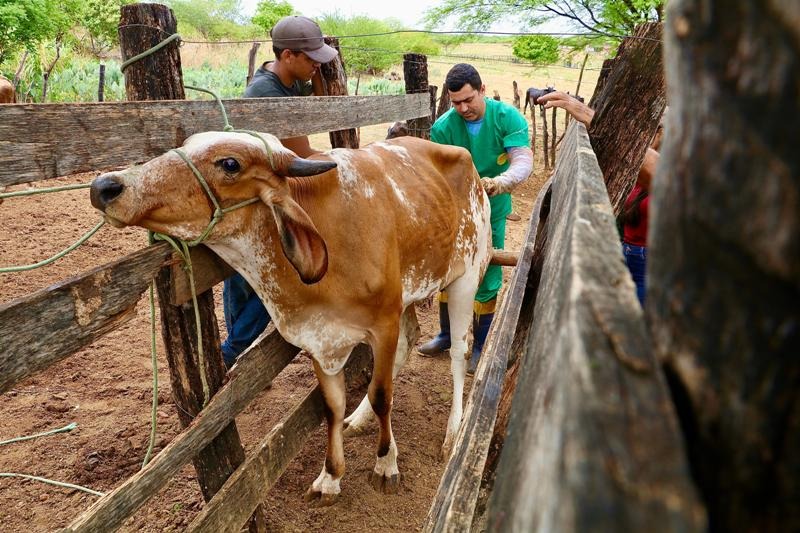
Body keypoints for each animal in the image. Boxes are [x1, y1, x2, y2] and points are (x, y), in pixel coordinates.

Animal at [86, 130, 488, 502]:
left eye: (229, 163)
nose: (106, 186)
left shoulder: (383, 323)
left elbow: (382, 395)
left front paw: (386, 465)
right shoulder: (317, 338)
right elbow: (332, 406)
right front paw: (331, 476)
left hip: (466, 277)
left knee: (458, 351)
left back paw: (454, 430)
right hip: (411, 293)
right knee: (409, 342)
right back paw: (359, 419)